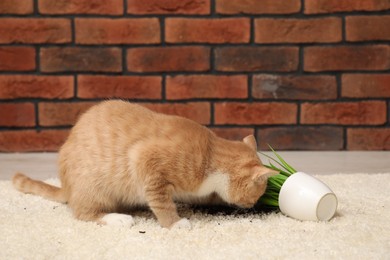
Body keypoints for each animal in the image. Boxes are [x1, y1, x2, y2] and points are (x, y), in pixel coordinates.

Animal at [13, 100, 276, 229]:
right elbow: (162, 203)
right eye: (255, 194)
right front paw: (175, 223)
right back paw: (116, 219)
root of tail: (67, 187)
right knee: (83, 213)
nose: (252, 205)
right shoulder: (145, 160)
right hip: (93, 189)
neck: (210, 154)